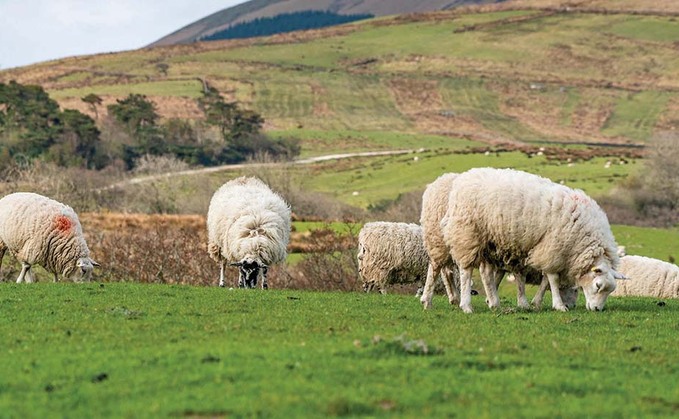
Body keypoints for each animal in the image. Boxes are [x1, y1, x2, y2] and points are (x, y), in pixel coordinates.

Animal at [440, 169, 628, 314]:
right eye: (598, 285)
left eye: (610, 291)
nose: (597, 309)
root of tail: (463, 179)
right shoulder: (553, 247)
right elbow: (552, 279)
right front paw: (559, 305)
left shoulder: (551, 252)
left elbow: (545, 280)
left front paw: (536, 302)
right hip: (467, 234)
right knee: (466, 271)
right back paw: (466, 305)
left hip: (490, 242)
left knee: (486, 273)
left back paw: (494, 303)